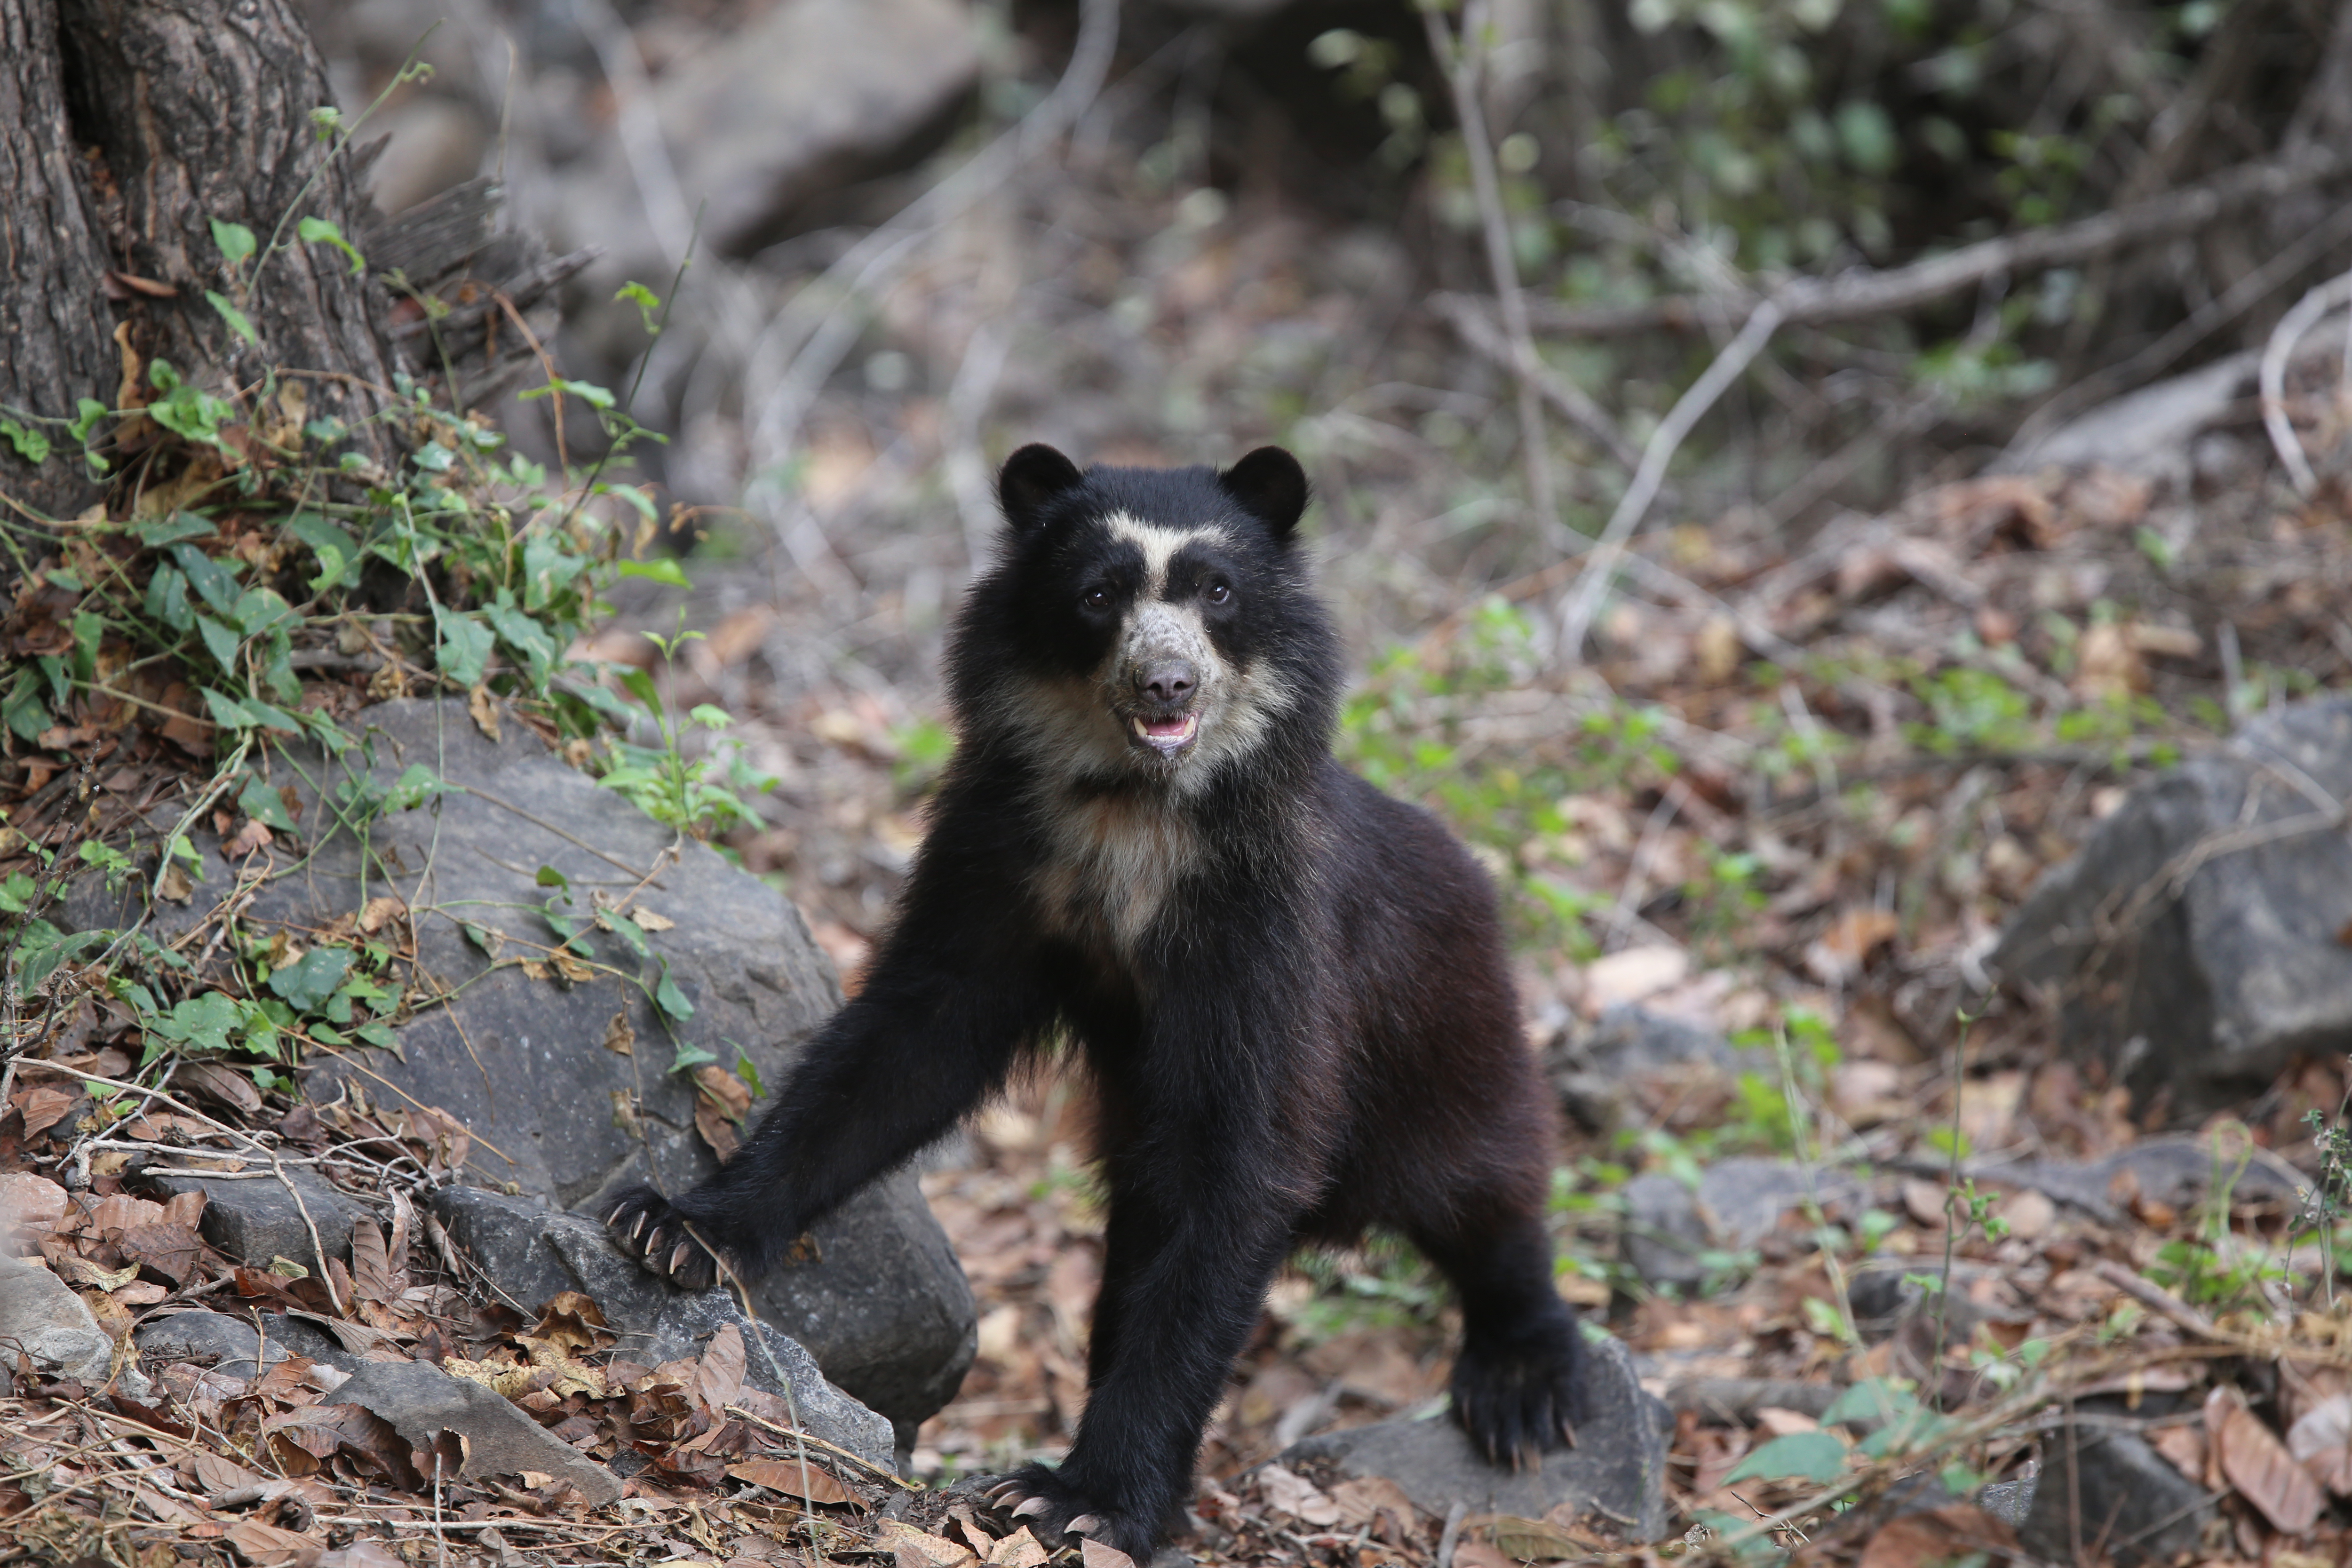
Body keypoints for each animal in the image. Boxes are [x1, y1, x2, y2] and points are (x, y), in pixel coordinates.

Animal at [604, 443, 1585, 1560]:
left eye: (1217, 590)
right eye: (1099, 594)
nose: (1166, 680)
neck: (1136, 810)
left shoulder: (1265, 923)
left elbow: (1243, 1158)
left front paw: (1082, 1497)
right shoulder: (1004, 854)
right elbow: (908, 1042)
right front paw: (676, 1228)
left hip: (1446, 1037)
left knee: (1484, 1189)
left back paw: (1523, 1380)